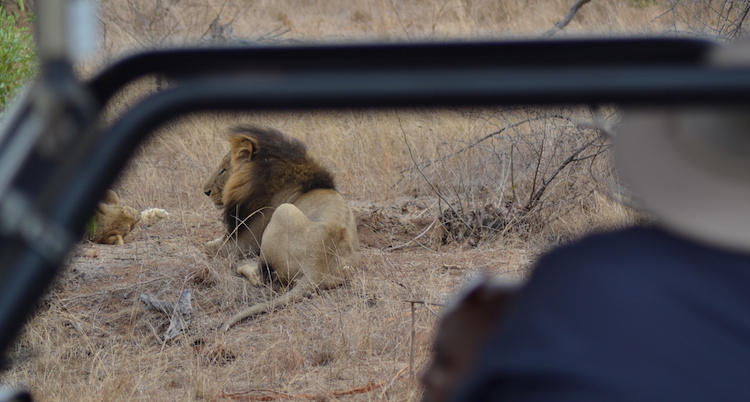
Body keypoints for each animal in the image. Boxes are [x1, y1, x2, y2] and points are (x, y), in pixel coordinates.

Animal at [204, 126, 360, 332]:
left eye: (223, 170)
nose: (205, 191)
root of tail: (316, 268)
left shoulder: (241, 244)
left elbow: (206, 247)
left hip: (283, 211)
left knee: (262, 277)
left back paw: (243, 266)